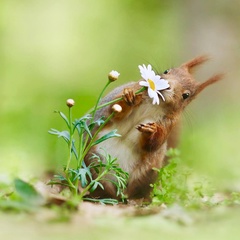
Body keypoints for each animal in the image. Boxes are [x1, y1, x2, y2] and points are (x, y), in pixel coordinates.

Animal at [85, 55, 223, 201]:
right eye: (167, 71)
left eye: (186, 95)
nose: (167, 85)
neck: (155, 103)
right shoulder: (128, 93)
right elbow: (114, 109)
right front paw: (129, 96)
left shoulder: (169, 124)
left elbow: (153, 143)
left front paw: (151, 131)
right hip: (94, 160)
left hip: (147, 170)